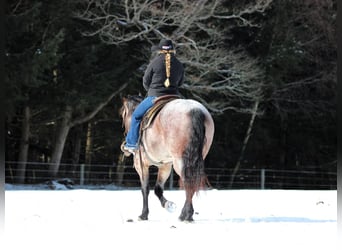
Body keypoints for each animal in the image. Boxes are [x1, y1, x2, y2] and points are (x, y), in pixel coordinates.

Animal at [120, 94, 214, 222]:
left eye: (123, 114)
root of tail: (194, 110)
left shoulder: (141, 165)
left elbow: (145, 189)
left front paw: (144, 214)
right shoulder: (165, 165)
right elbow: (158, 189)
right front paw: (169, 205)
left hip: (180, 161)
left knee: (188, 182)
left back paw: (185, 214)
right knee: (192, 182)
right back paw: (187, 215)